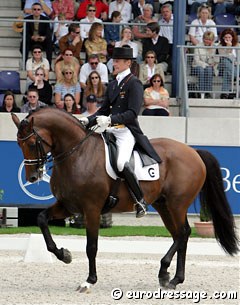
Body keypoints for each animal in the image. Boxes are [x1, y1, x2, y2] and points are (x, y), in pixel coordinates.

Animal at [10, 108, 238, 290]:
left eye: (32, 143)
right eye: (18, 144)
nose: (32, 177)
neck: (77, 155)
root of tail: (193, 152)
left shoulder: (91, 209)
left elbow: (91, 246)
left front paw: (89, 281)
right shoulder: (68, 206)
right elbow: (41, 219)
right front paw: (64, 255)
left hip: (177, 204)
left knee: (183, 233)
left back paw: (166, 273)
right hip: (163, 205)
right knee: (179, 235)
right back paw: (172, 278)